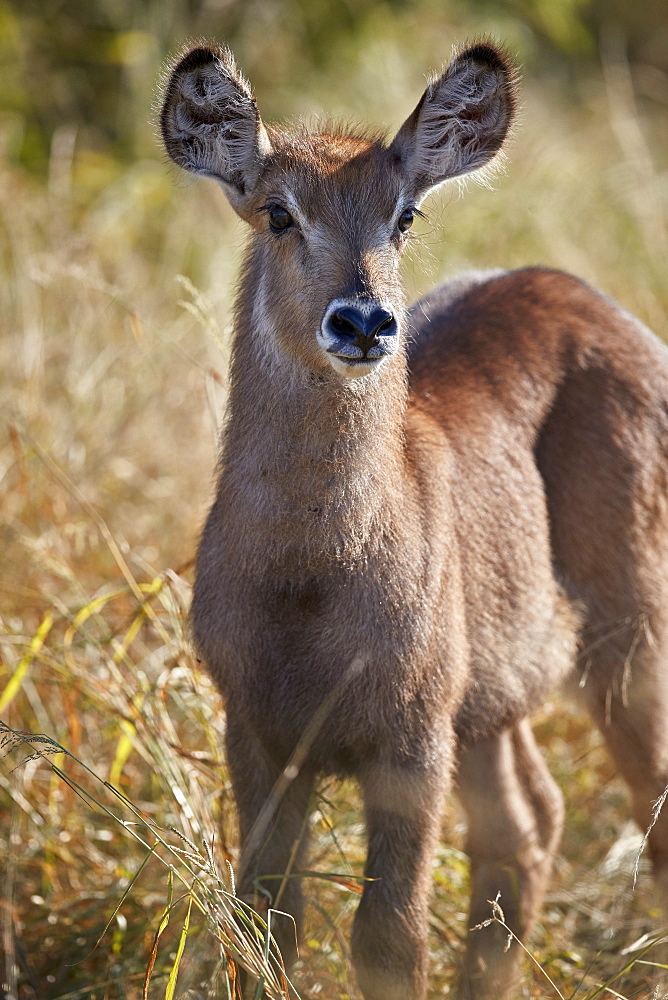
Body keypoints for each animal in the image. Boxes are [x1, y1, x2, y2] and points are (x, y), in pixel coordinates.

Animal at [160, 41, 668, 1000]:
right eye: (278, 212)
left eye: (404, 215)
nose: (364, 321)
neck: (308, 583)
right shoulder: (258, 733)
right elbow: (265, 924)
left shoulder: (409, 739)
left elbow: (390, 941)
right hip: (495, 699)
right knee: (528, 821)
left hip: (631, 644)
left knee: (643, 808)